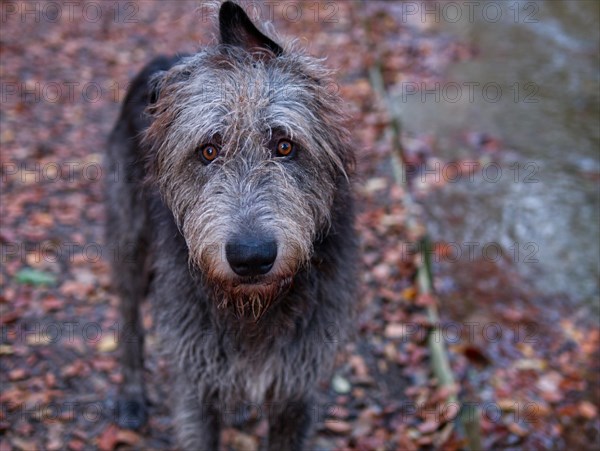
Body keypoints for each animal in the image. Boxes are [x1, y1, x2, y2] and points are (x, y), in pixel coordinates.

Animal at [105, 2, 356, 448]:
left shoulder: (297, 390)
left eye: (285, 145)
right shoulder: (194, 386)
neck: (253, 308)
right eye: (208, 151)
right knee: (129, 317)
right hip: (129, 244)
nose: (251, 257)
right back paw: (132, 395)